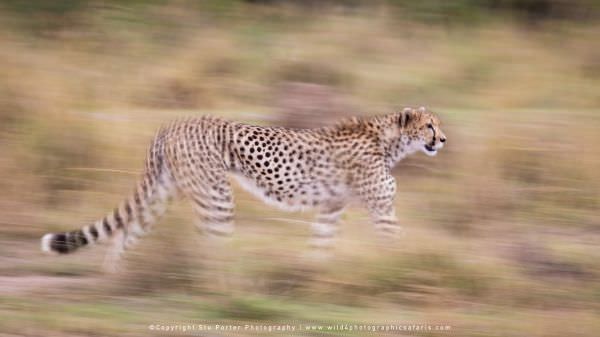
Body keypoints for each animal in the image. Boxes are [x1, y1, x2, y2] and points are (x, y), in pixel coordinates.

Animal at [39, 107, 446, 258]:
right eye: (429, 125)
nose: (442, 140)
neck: (390, 141)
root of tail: (173, 123)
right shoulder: (382, 207)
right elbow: (396, 243)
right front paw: (402, 274)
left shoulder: (331, 207)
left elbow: (320, 245)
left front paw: (311, 277)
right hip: (216, 193)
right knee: (212, 242)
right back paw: (220, 286)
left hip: (164, 192)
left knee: (126, 236)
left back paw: (116, 277)